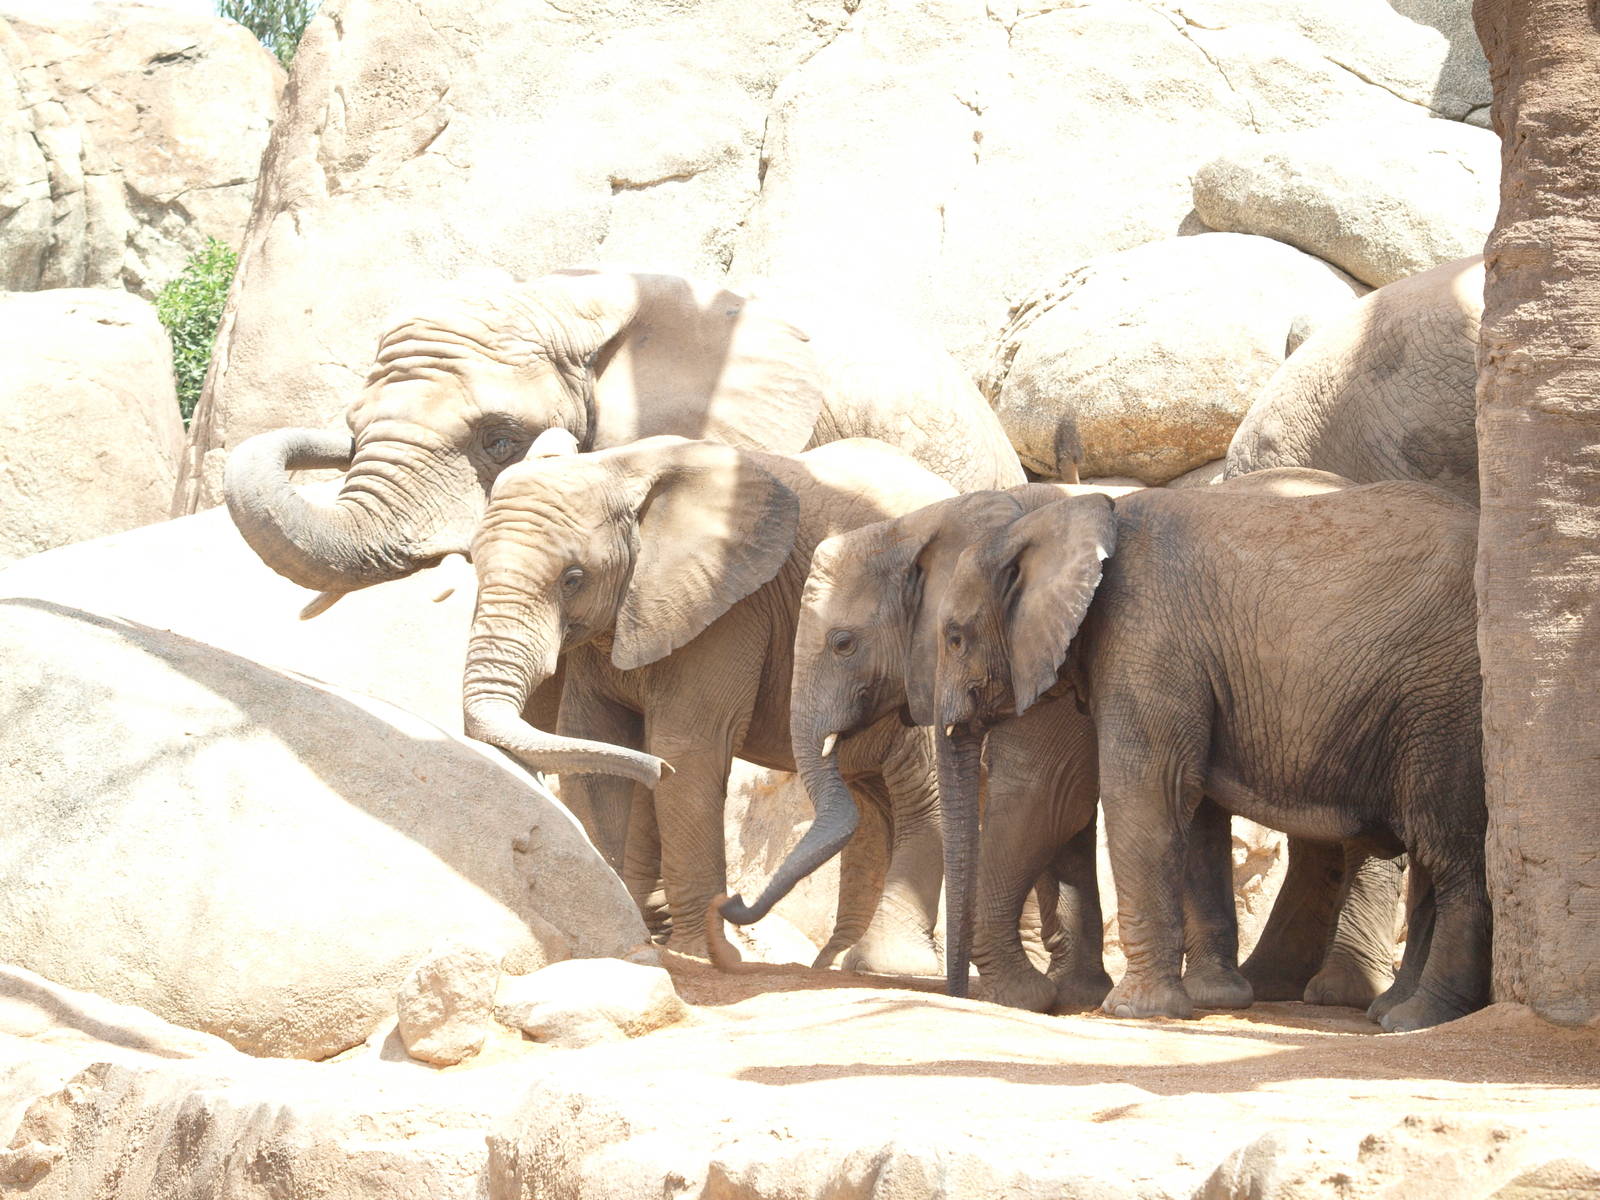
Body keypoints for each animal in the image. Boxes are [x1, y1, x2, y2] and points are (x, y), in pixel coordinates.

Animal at [461, 434, 958, 966]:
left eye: (573, 578)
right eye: (475, 564)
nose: (654, 770)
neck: (620, 466)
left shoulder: (731, 608)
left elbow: (688, 750)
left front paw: (704, 954)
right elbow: (594, 745)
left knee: (921, 790)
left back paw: (887, 965)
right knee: (870, 803)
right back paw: (837, 960)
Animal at [722, 474, 1405, 1012]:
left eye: (843, 643)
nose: (732, 899)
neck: (946, 515)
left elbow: (1045, 794)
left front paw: (1023, 997)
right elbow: (1062, 815)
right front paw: (1067, 993)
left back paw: (1337, 995)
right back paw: (1247, 990)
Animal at [934, 471, 1488, 1032]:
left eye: (954, 638)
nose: (957, 996)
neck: (1072, 517)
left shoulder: (1145, 638)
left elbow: (1142, 792)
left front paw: (1136, 1011)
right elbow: (1188, 808)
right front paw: (1212, 998)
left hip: (1447, 703)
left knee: (1452, 853)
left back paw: (1416, 1017)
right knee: (1434, 856)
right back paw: (1396, 1011)